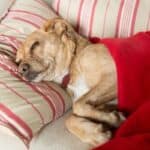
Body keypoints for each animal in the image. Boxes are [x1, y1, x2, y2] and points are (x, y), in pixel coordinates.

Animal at [15, 17, 125, 146]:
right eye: (18, 62)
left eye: (34, 45)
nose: (20, 70)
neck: (73, 62)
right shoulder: (102, 103)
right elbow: (70, 118)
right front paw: (96, 133)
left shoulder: (113, 76)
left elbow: (77, 105)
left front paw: (114, 120)